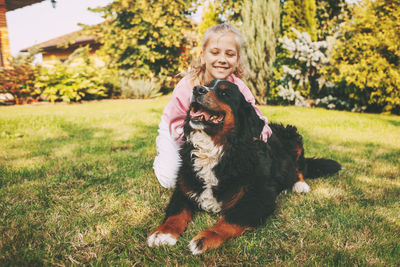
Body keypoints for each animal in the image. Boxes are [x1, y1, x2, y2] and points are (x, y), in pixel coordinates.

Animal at [147, 79, 340, 255]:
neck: (217, 149)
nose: (197, 89)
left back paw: (299, 185)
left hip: (293, 137)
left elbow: (230, 219)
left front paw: (204, 238)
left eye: (224, 93)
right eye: (205, 84)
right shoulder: (184, 187)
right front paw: (163, 233)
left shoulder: (260, 198)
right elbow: (176, 213)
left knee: (300, 167)